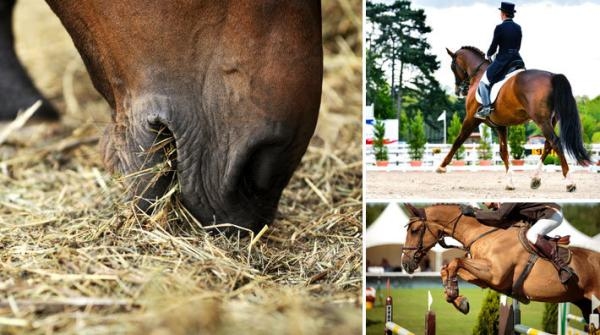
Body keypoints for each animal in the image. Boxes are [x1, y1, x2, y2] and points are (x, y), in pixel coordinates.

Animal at [398, 203, 600, 322]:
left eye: (414, 230)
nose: (405, 264)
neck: (484, 234)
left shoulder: (495, 274)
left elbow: (455, 261)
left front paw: (454, 294)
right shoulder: (483, 277)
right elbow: (447, 268)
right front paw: (457, 299)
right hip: (587, 305)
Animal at [436, 46, 592, 193]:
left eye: (452, 66)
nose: (459, 91)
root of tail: (552, 76)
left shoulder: (471, 119)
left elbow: (458, 141)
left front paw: (441, 167)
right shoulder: (500, 126)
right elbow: (503, 152)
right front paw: (510, 183)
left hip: (541, 120)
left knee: (555, 143)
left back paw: (570, 183)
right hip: (551, 120)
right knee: (548, 145)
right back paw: (535, 179)